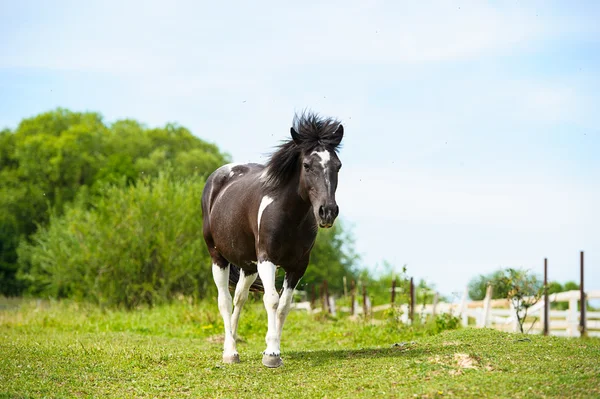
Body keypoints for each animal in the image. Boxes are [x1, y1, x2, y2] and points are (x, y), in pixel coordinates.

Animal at [200, 112, 342, 368]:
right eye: (307, 165)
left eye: (338, 166)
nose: (327, 212)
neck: (287, 214)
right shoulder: (268, 259)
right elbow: (272, 300)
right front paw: (272, 355)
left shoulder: (298, 266)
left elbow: (284, 305)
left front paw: (271, 347)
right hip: (218, 257)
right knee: (224, 300)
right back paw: (230, 352)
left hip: (248, 266)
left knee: (240, 298)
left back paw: (232, 343)